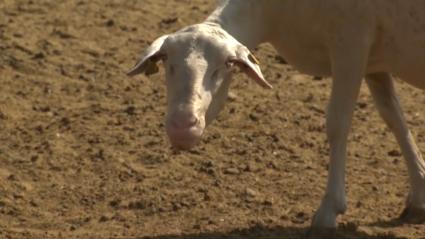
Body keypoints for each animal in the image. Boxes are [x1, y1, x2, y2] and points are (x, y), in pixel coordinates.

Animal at [127, 0, 424, 236]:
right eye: (168, 63)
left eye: (225, 66)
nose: (182, 128)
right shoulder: (374, 63)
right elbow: (394, 118)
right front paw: (419, 195)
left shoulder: (351, 44)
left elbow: (337, 123)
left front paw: (328, 211)